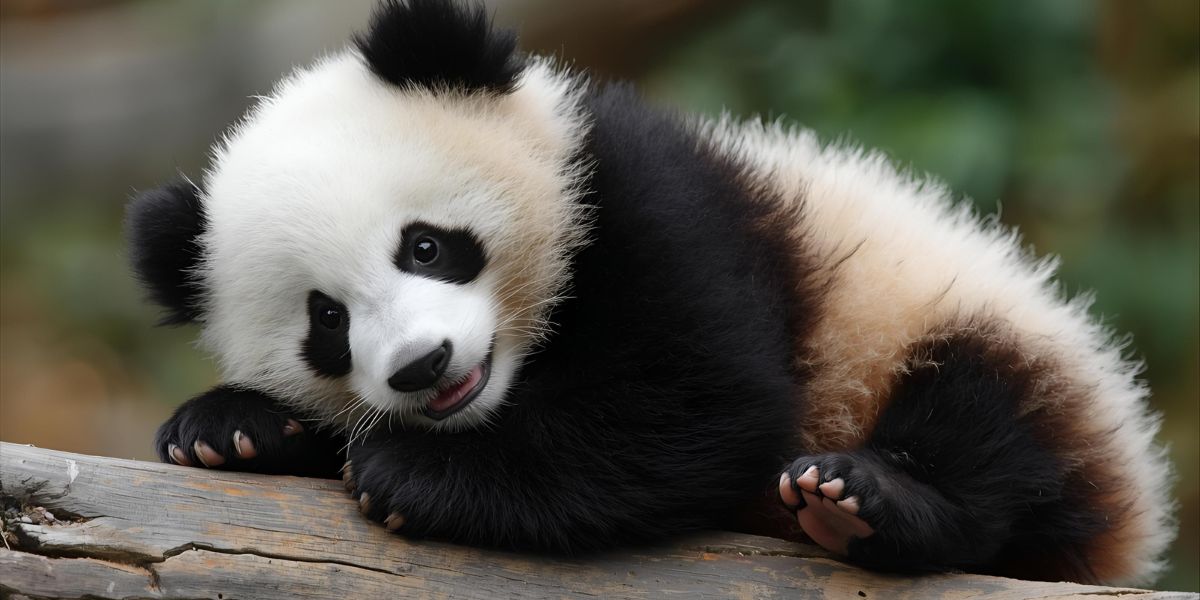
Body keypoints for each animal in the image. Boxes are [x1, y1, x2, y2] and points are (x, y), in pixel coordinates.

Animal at [126, 0, 1173, 586]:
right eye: (327, 322)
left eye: (427, 246)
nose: (425, 367)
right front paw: (234, 428)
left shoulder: (656, 210)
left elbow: (698, 403)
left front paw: (411, 474)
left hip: (956, 322)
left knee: (992, 424)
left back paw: (865, 498)